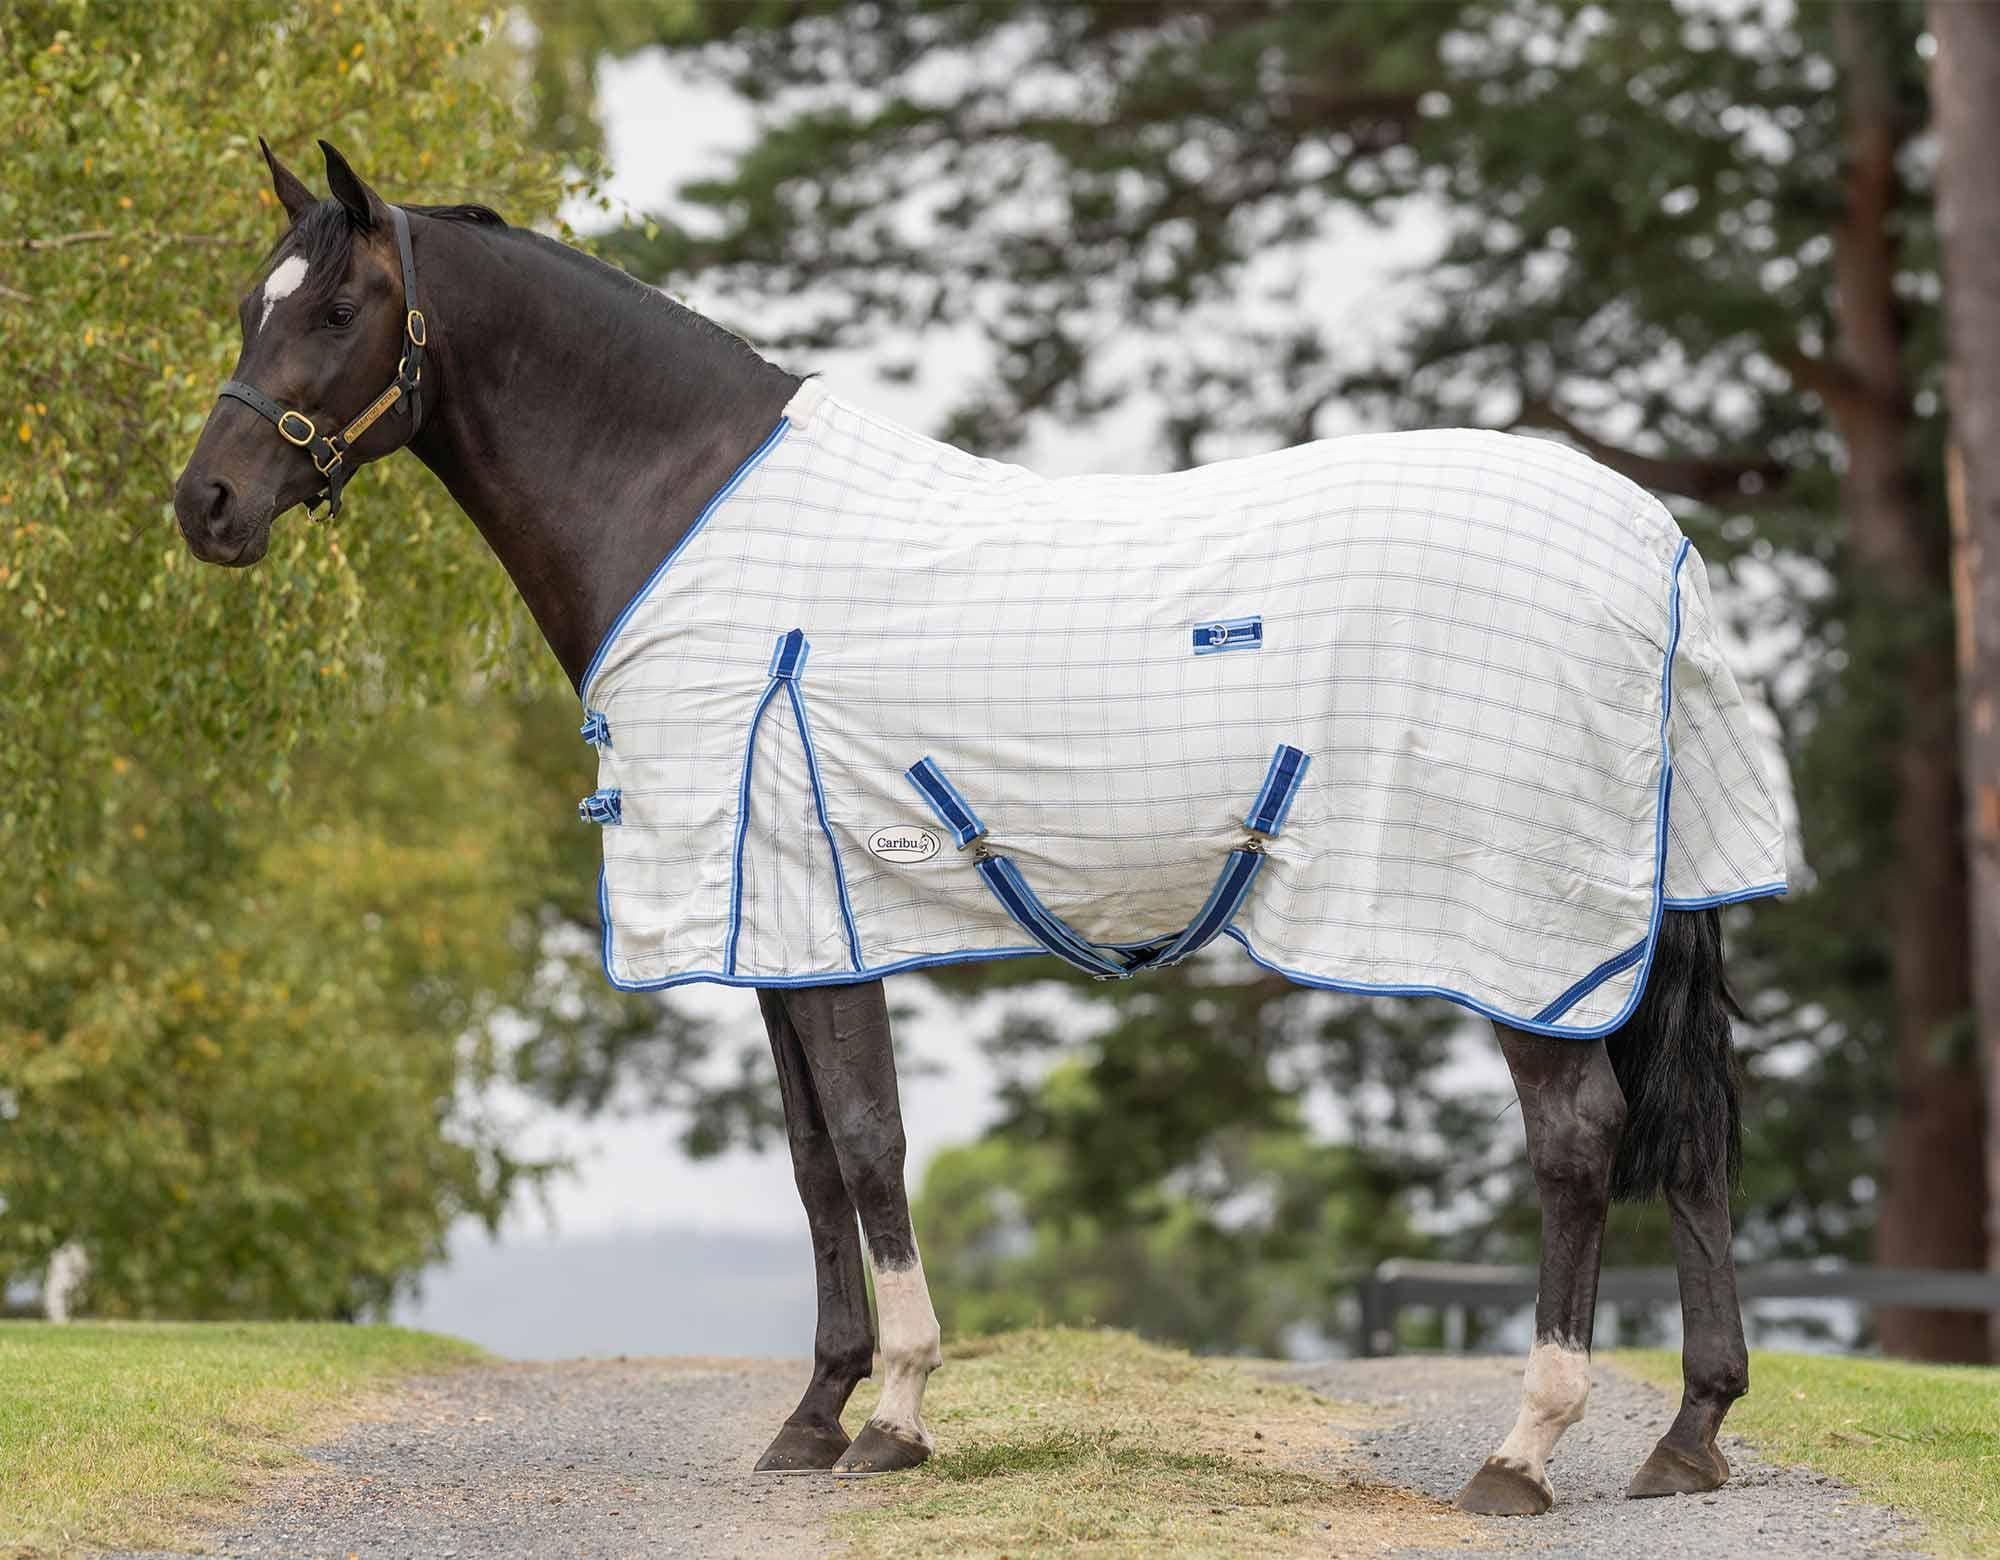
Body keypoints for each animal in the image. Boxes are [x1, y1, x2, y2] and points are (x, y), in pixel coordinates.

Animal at [173, 140, 1783, 1516]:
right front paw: (813, 1417)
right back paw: (1687, 1438)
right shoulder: (785, 934)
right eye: (251, 303)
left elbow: (868, 1146)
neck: (685, 507)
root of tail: (1653, 542)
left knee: (1580, 1141)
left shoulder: (821, 913)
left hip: (1510, 924)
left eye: (336, 305)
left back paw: (1524, 1451)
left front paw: (893, 1417)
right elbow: (814, 1160)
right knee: (1695, 1146)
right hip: (1637, 918)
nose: (208, 505)